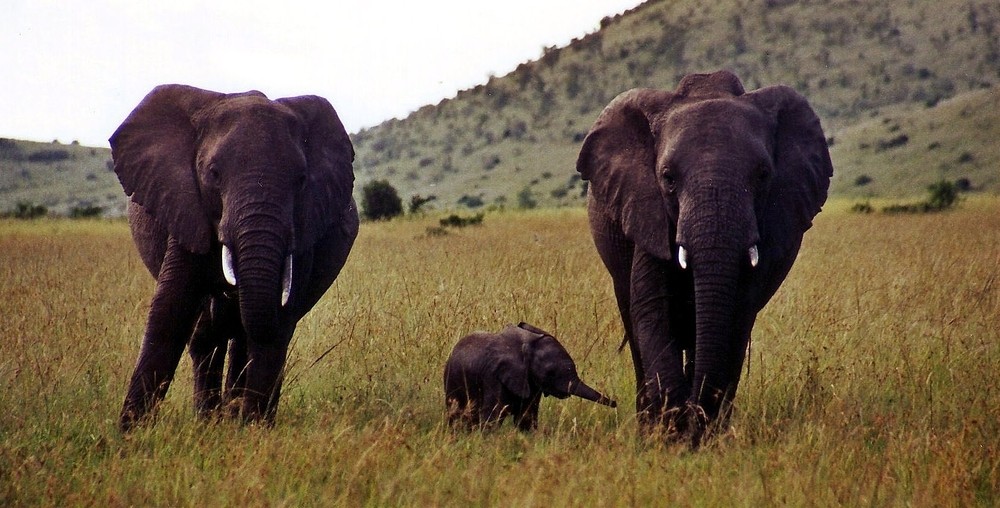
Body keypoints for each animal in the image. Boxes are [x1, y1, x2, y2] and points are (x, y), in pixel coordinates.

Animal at [111, 85, 360, 430]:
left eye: (301, 180)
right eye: (213, 174)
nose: (239, 412)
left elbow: (275, 324)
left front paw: (251, 430)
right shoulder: (186, 209)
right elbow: (170, 311)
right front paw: (129, 436)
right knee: (205, 339)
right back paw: (209, 420)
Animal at [446, 322, 616, 428]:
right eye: (550, 372)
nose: (615, 403)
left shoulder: (531, 382)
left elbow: (526, 417)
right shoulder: (493, 376)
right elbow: (492, 415)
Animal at [576, 70, 832, 444]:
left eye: (763, 176)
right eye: (667, 178)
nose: (693, 420)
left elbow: (735, 313)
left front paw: (701, 433)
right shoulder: (646, 208)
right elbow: (653, 309)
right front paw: (671, 434)